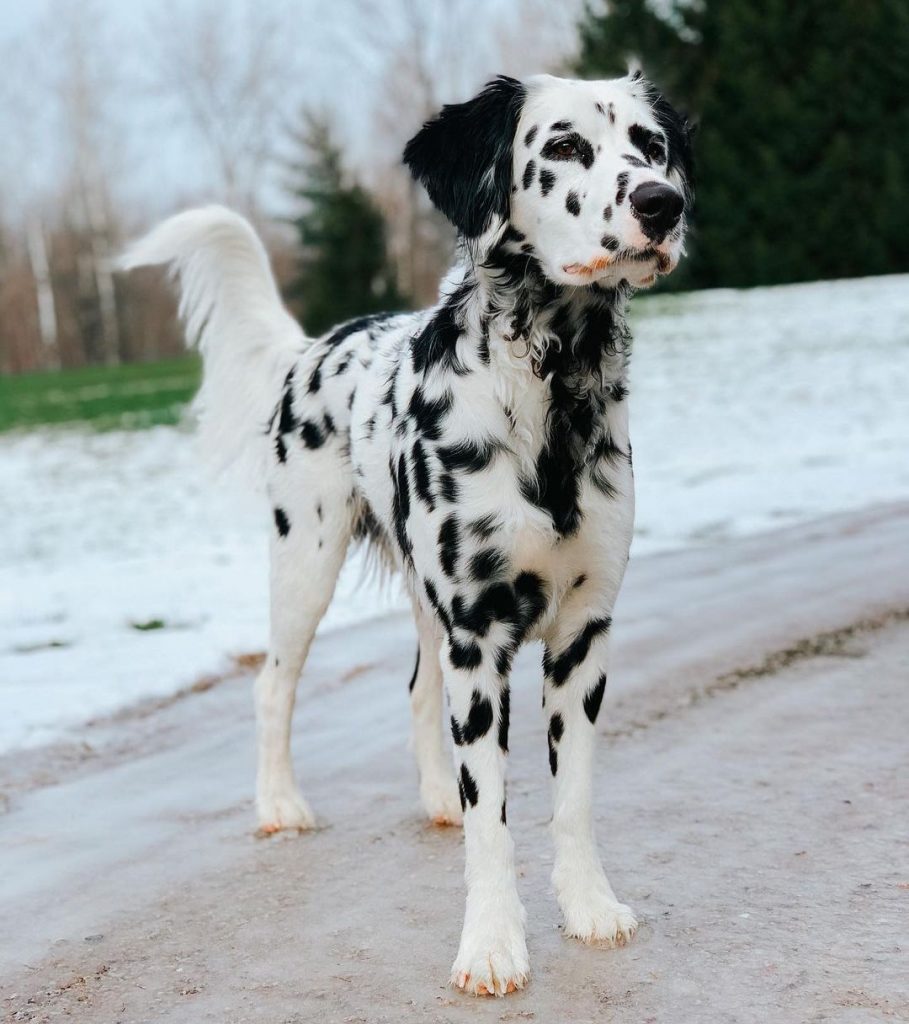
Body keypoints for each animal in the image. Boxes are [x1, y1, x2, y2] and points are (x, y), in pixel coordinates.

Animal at [120, 72, 687, 999]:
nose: (660, 204)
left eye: (652, 146)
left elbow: (570, 798)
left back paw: (434, 797)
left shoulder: (581, 633)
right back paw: (279, 806)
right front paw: (491, 945)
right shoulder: (478, 636)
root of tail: (313, 346)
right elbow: (494, 819)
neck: (547, 398)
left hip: (427, 605)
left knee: (421, 693)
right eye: (564, 146)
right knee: (272, 685)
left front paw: (588, 906)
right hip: (305, 562)